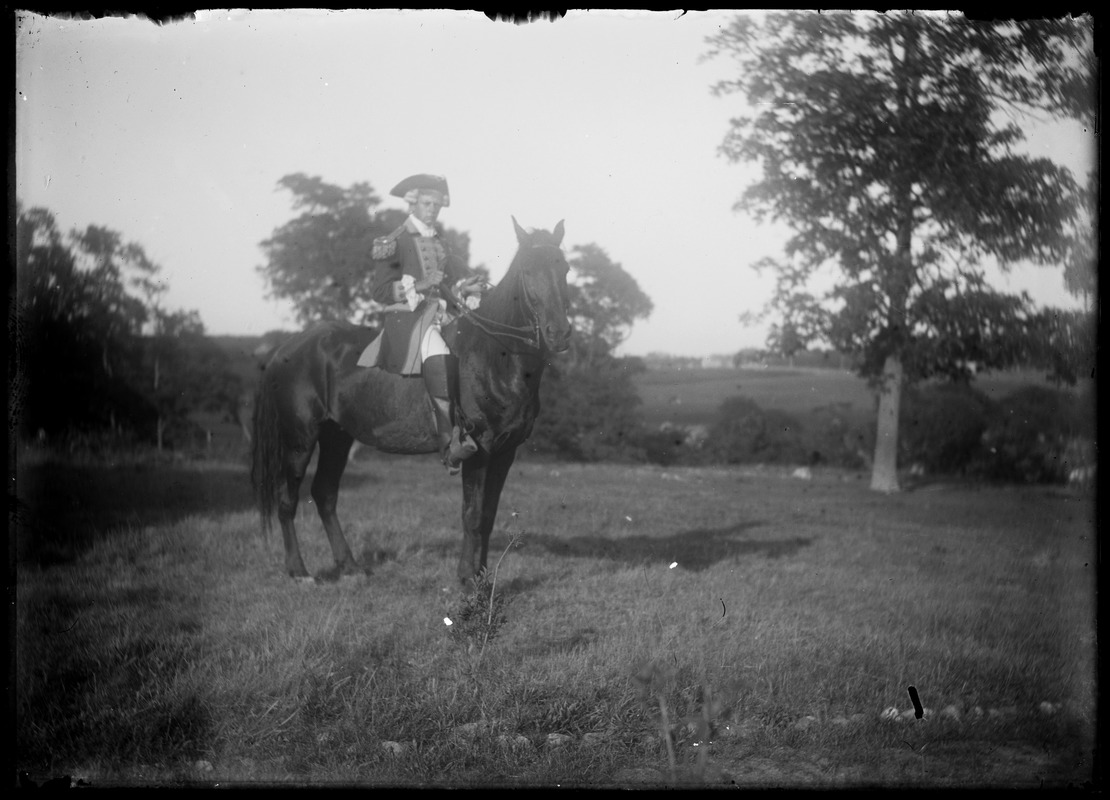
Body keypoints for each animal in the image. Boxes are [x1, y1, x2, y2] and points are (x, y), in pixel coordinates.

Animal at [251, 218, 572, 585]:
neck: (497, 357)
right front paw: (467, 580)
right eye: (527, 271)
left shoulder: (505, 452)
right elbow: (473, 515)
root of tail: (285, 348)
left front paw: (483, 579)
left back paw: (350, 565)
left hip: (337, 436)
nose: (560, 333)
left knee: (325, 494)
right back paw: (298, 571)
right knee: (288, 499)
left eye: (565, 268)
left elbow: (489, 516)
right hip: (300, 439)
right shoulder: (479, 451)